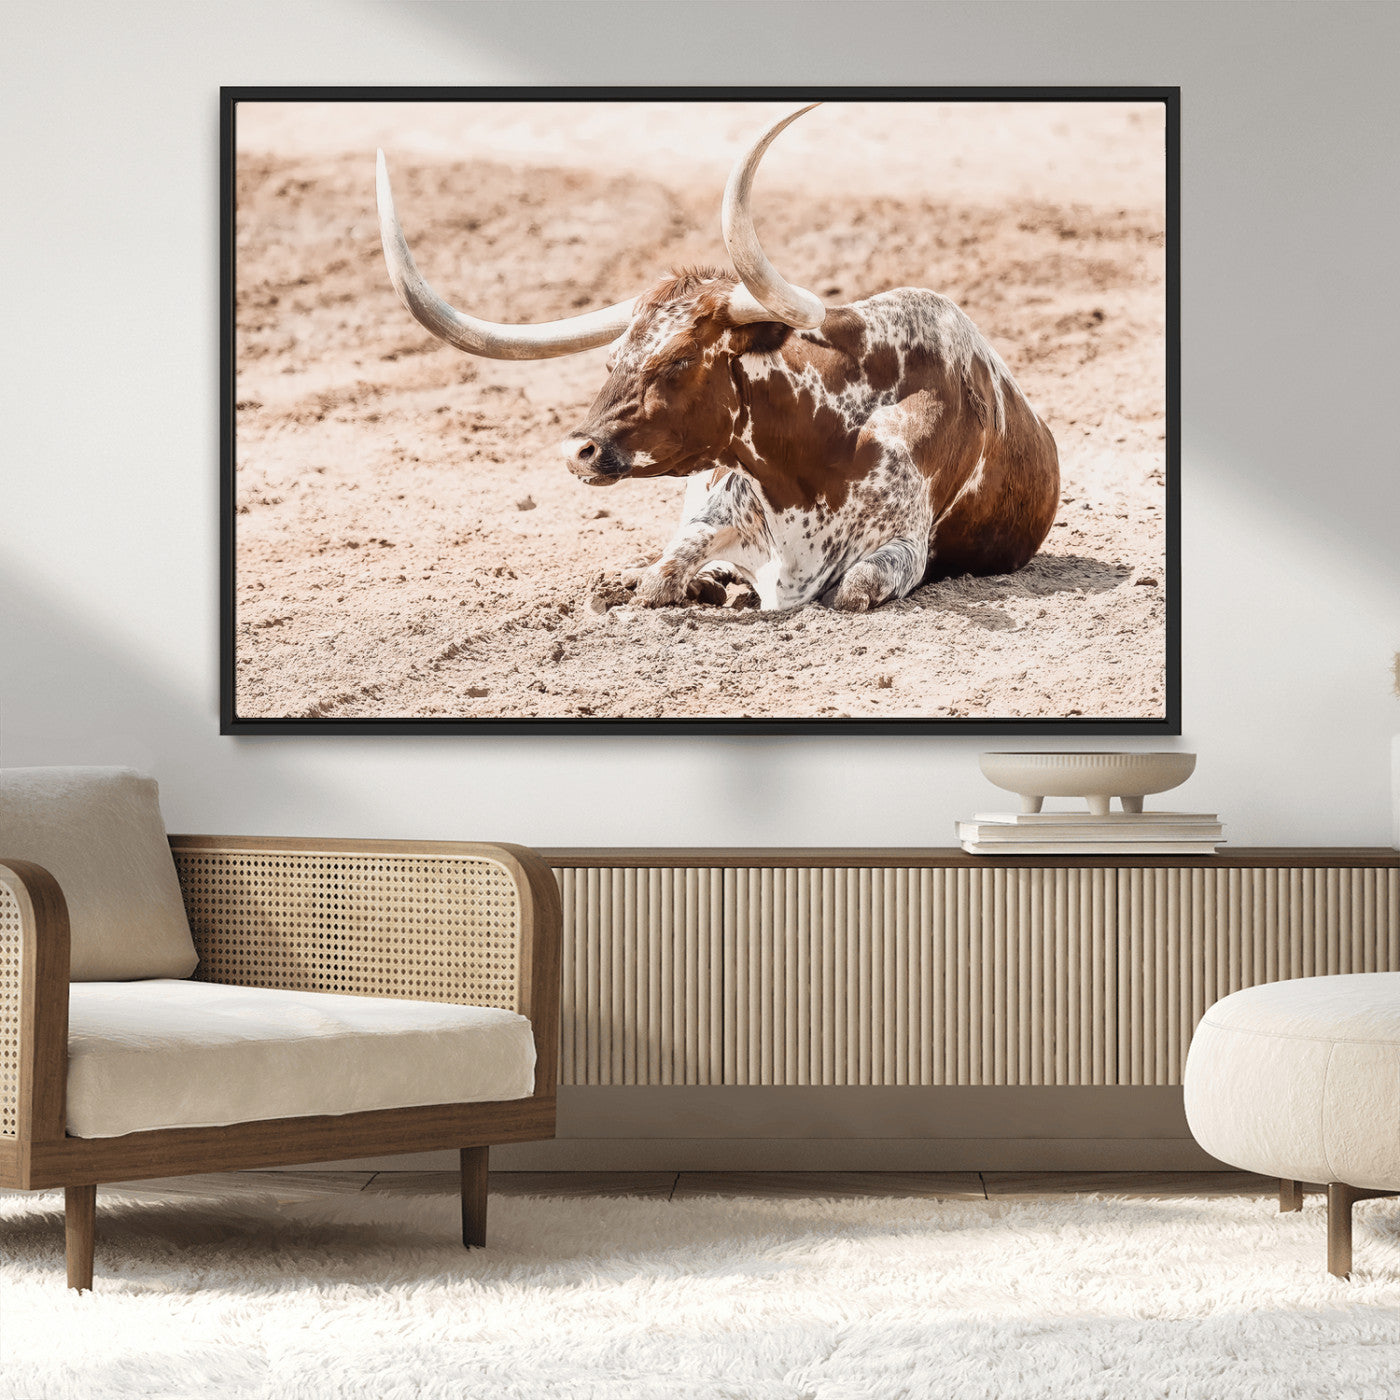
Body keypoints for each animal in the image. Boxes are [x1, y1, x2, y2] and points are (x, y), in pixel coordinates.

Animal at [376, 105, 1059, 612]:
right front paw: (680, 583)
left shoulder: (902, 548)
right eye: (612, 359)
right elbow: (661, 576)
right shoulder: (711, 513)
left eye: (679, 360)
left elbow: (851, 589)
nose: (578, 451)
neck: (817, 453)